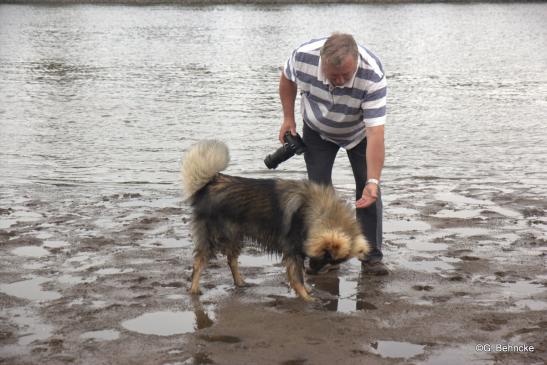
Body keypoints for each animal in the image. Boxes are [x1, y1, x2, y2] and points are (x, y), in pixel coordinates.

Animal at [182, 139, 370, 298]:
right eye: (325, 255)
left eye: (332, 260)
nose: (314, 271)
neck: (318, 212)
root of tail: (210, 184)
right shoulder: (293, 251)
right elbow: (297, 278)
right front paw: (307, 297)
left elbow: (299, 276)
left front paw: (307, 291)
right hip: (213, 237)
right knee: (199, 262)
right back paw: (194, 289)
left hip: (235, 235)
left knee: (231, 260)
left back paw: (240, 282)